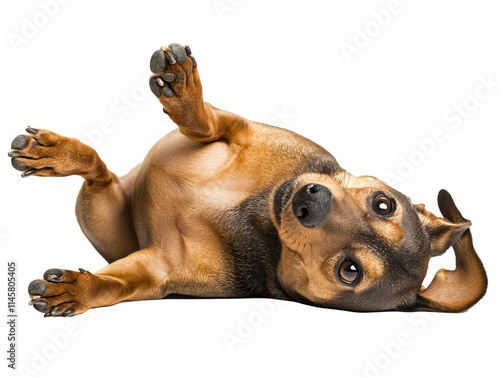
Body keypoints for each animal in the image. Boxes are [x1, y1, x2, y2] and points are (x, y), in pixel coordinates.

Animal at [8, 42, 488, 316]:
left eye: (350, 271)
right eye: (383, 203)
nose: (310, 201)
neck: (256, 213)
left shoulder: (159, 270)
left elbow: (116, 285)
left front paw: (79, 289)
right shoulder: (239, 127)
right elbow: (204, 122)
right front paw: (182, 87)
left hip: (97, 212)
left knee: (100, 177)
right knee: (98, 166)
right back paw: (54, 152)